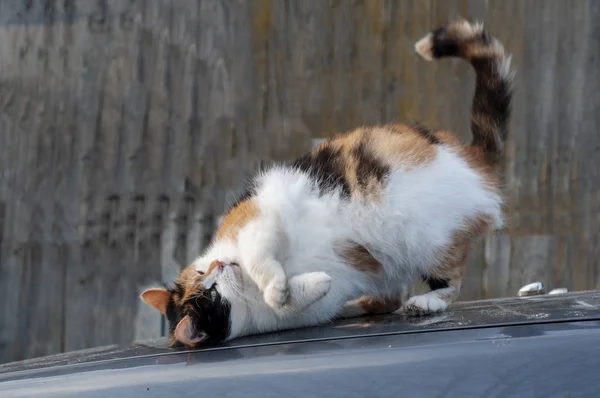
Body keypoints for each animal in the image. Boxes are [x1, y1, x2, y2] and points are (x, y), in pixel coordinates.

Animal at [141, 19, 510, 348]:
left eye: (204, 275)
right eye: (211, 291)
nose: (220, 264)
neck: (247, 290)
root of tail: (472, 158)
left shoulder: (258, 218)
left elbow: (260, 257)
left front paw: (276, 286)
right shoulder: (297, 311)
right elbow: (295, 300)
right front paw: (307, 286)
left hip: (429, 238)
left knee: (450, 280)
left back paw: (426, 302)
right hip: (397, 261)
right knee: (392, 297)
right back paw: (356, 307)